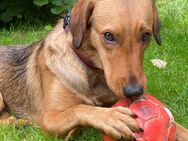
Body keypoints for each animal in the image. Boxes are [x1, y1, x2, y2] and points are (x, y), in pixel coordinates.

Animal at [0, 0, 188, 140]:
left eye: (146, 35)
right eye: (109, 36)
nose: (134, 92)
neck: (94, 74)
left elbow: (178, 127)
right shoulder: (49, 119)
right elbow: (81, 109)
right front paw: (111, 117)